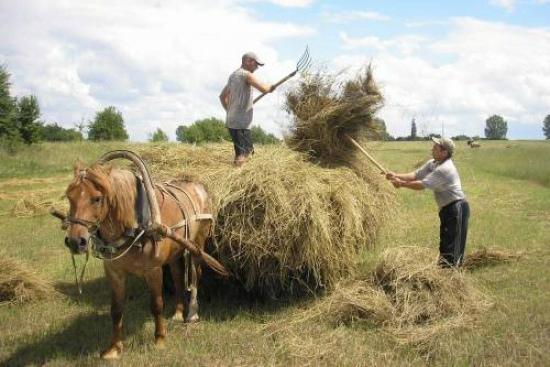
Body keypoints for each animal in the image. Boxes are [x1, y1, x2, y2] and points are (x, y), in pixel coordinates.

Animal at [64, 161, 226, 360]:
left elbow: (156, 304)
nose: (75, 241)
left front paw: (160, 340)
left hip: (197, 243)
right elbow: (116, 309)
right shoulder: (114, 272)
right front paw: (114, 348)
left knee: (195, 275)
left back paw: (192, 313)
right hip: (175, 252)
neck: (135, 228)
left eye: (97, 199)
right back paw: (178, 313)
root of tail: (198, 185)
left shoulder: (153, 271)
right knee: (178, 278)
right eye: (69, 196)